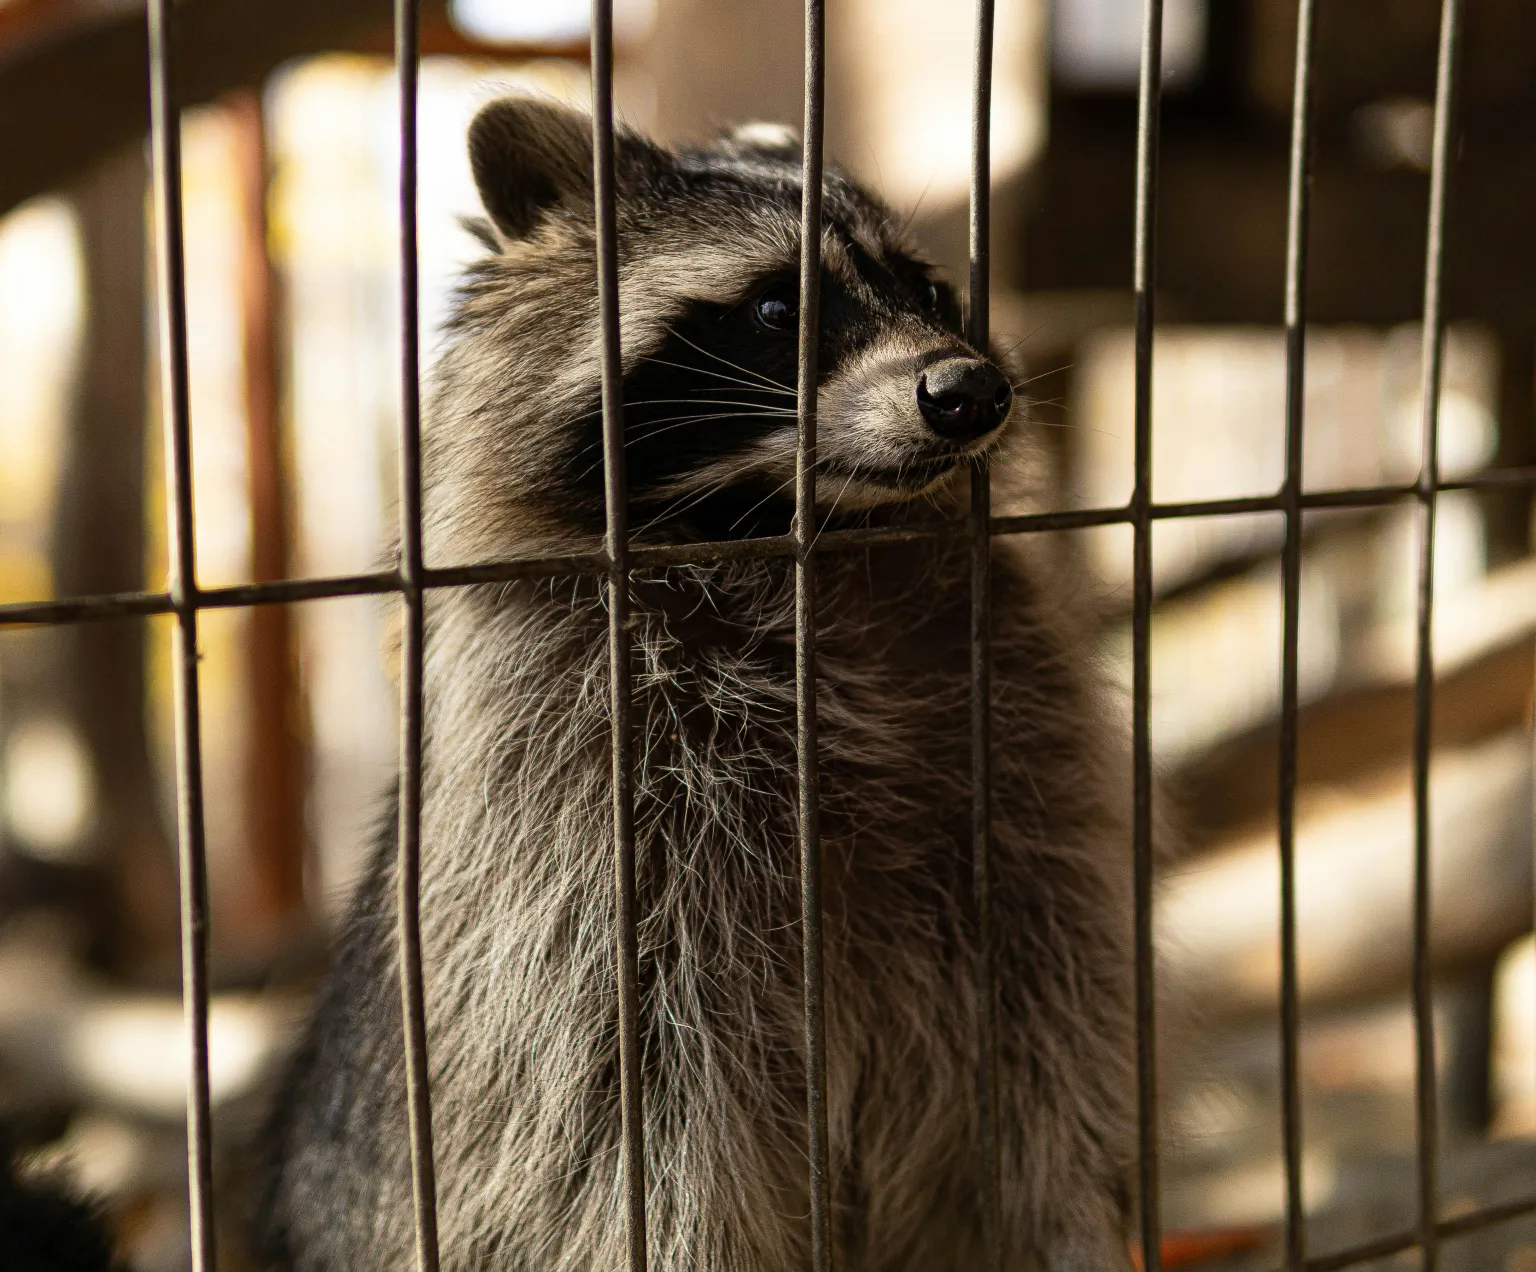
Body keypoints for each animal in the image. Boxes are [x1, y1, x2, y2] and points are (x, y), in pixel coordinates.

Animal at [258, 94, 1136, 1265]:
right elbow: (619, 1124)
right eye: (774, 307)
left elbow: (1046, 1060)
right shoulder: (560, 813)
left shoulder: (1019, 766)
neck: (791, 534)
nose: (972, 392)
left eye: (931, 292)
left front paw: (1066, 1223)